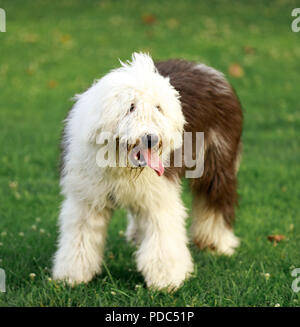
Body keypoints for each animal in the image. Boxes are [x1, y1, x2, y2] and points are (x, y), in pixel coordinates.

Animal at [52, 52, 243, 290]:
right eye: (131, 107)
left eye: (158, 107)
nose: (150, 138)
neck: (121, 165)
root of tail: (207, 69)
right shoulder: (86, 199)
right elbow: (80, 237)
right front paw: (73, 276)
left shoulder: (159, 195)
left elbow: (162, 238)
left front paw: (166, 280)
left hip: (217, 160)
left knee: (216, 200)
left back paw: (217, 243)